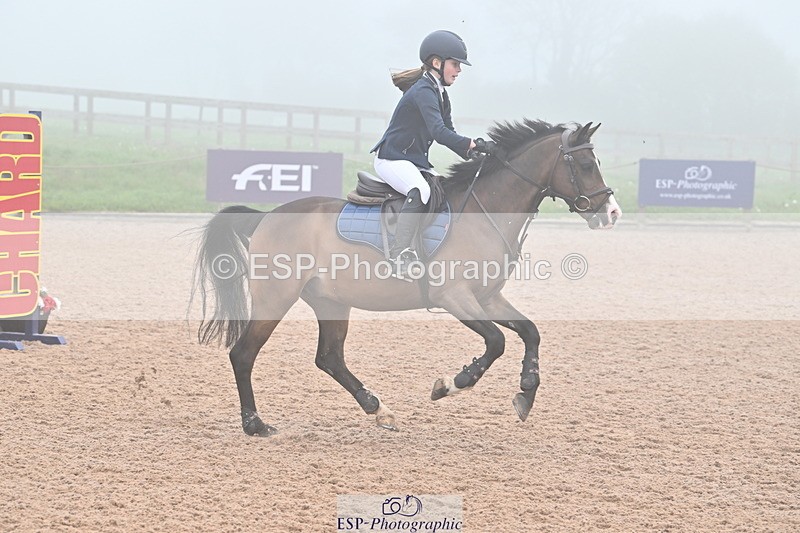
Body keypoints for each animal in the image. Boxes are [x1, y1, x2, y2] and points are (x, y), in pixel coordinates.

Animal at [192, 119, 621, 436]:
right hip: (275, 298)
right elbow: (496, 342)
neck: (486, 211)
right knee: (244, 354)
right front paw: (452, 383)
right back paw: (255, 425)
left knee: (329, 358)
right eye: (586, 166)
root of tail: (267, 216)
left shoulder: (488, 297)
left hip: (331, 301)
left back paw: (378, 409)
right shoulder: (455, 296)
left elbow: (530, 332)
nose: (611, 212)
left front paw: (526, 392)